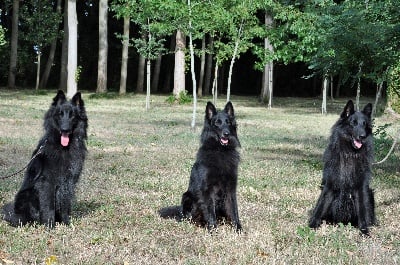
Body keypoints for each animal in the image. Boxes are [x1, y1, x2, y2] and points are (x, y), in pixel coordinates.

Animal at [2, 91, 87, 227]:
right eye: (60, 114)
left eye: (72, 116)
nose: (65, 129)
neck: (64, 148)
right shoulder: (47, 182)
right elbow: (49, 206)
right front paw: (49, 225)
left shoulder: (68, 182)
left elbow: (65, 203)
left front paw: (66, 223)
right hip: (27, 195)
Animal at [159, 101, 241, 231]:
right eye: (217, 122)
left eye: (228, 122)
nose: (226, 134)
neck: (220, 150)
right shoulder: (207, 189)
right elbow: (210, 211)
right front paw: (213, 229)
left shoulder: (230, 188)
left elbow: (234, 210)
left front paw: (238, 229)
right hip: (187, 197)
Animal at [310, 100, 376, 234]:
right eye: (353, 123)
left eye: (364, 124)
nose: (362, 136)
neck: (350, 153)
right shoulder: (329, 185)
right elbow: (320, 207)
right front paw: (312, 225)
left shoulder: (361, 188)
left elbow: (362, 210)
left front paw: (364, 231)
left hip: (370, 193)